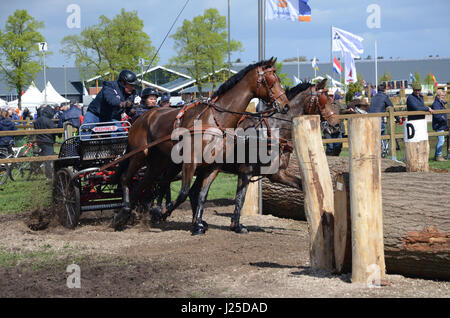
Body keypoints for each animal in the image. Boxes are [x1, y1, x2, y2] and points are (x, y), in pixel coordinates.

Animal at [112, 57, 288, 231]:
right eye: (272, 79)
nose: (285, 105)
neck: (214, 120)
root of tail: (141, 118)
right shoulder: (190, 162)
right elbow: (183, 193)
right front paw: (161, 213)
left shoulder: (213, 166)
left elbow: (202, 194)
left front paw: (197, 223)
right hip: (139, 154)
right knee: (126, 178)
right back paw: (123, 213)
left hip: (159, 162)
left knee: (144, 185)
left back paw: (130, 214)